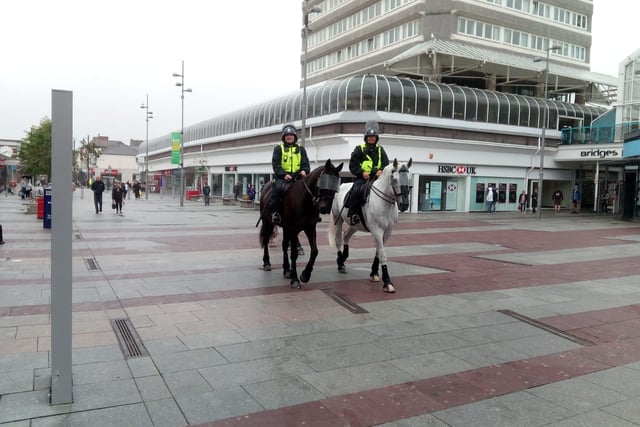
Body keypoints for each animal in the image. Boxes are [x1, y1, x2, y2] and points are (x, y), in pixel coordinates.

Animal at [258, 159, 342, 290]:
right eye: (323, 182)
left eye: (335, 186)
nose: (325, 208)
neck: (305, 200)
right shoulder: (293, 229)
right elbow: (293, 253)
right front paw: (295, 279)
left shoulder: (310, 227)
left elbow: (314, 251)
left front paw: (305, 275)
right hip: (268, 222)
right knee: (266, 241)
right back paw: (267, 262)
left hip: (285, 228)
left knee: (284, 245)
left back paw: (286, 269)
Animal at [328, 159, 412, 292]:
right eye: (394, 179)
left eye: (409, 179)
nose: (404, 205)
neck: (384, 202)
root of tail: (341, 186)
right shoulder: (377, 230)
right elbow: (382, 254)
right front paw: (387, 282)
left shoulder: (387, 232)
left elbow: (378, 251)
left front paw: (374, 273)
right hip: (339, 219)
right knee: (339, 239)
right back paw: (340, 263)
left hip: (355, 225)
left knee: (346, 236)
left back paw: (344, 258)